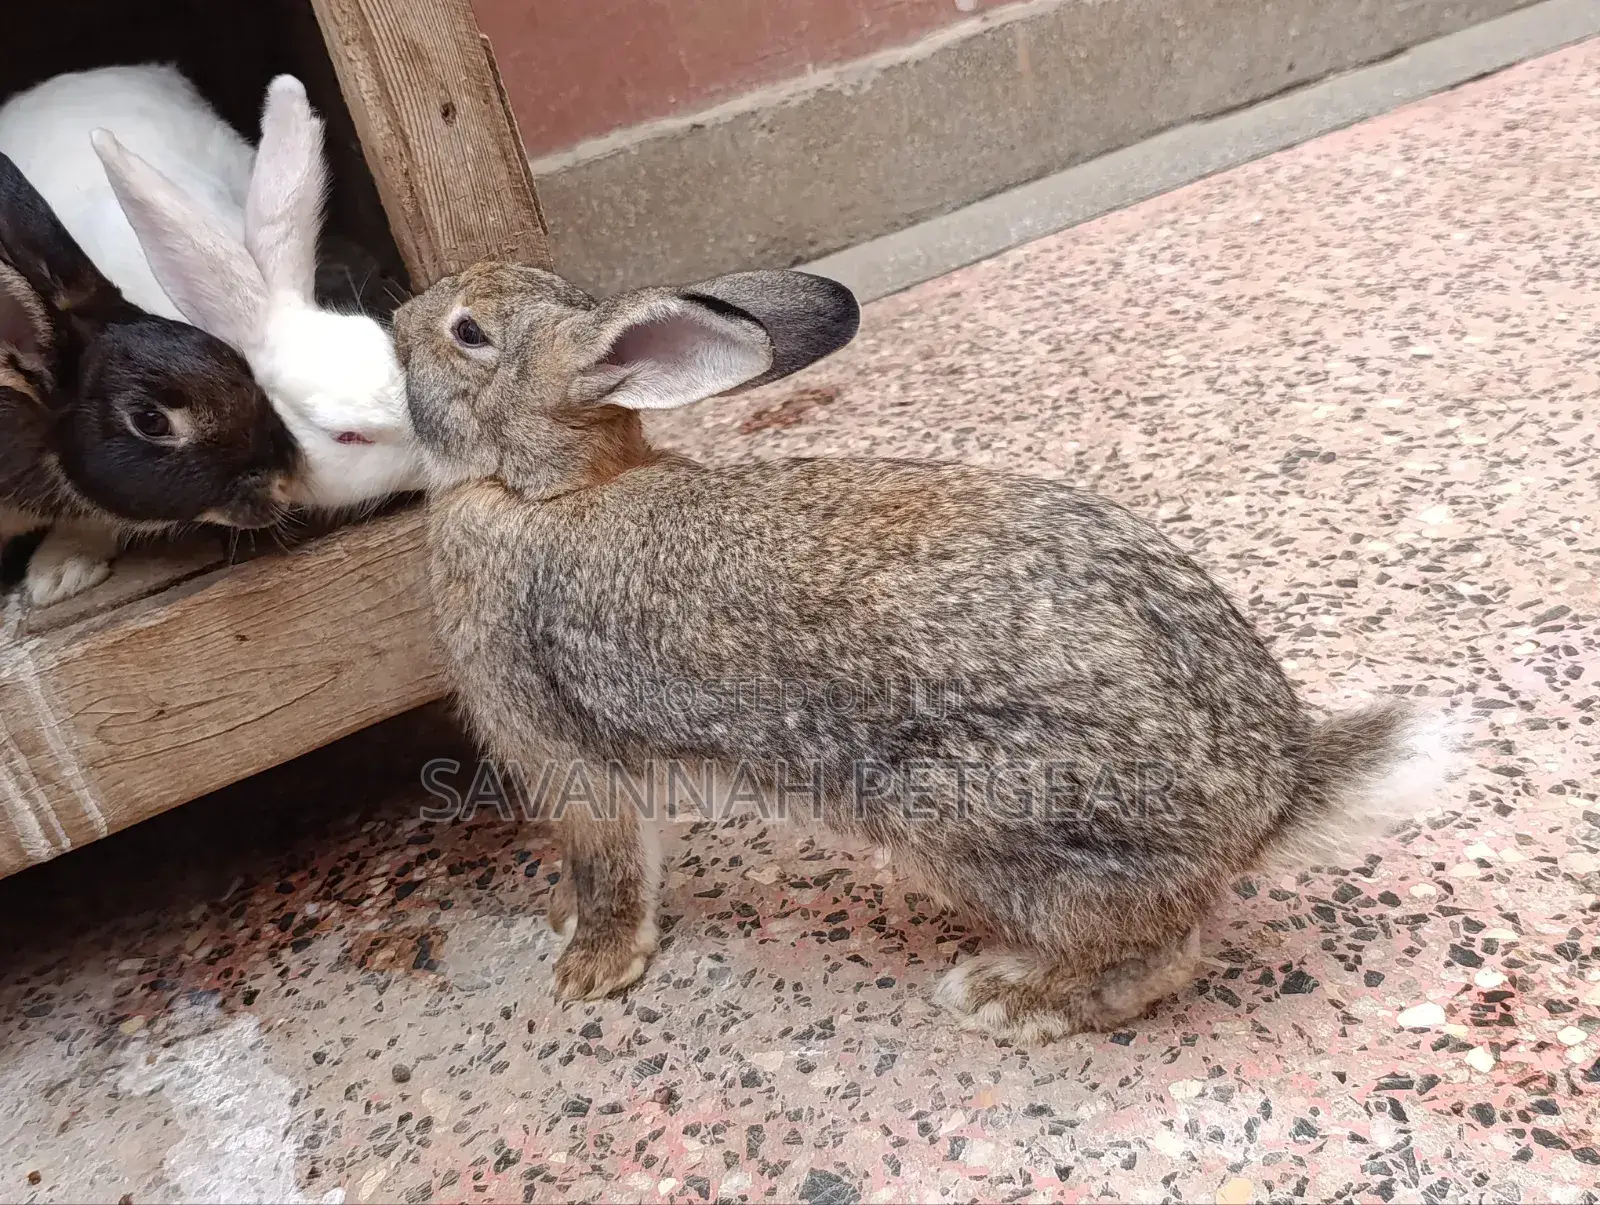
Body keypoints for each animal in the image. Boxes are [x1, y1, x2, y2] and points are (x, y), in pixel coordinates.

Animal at [391, 261, 1460, 1041]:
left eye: (468, 332)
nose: (400, 316)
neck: (539, 489)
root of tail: (1269, 796)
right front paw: (565, 924)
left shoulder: (569, 763)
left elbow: (611, 869)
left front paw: (589, 969)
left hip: (972, 817)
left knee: (1157, 953)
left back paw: (1006, 994)